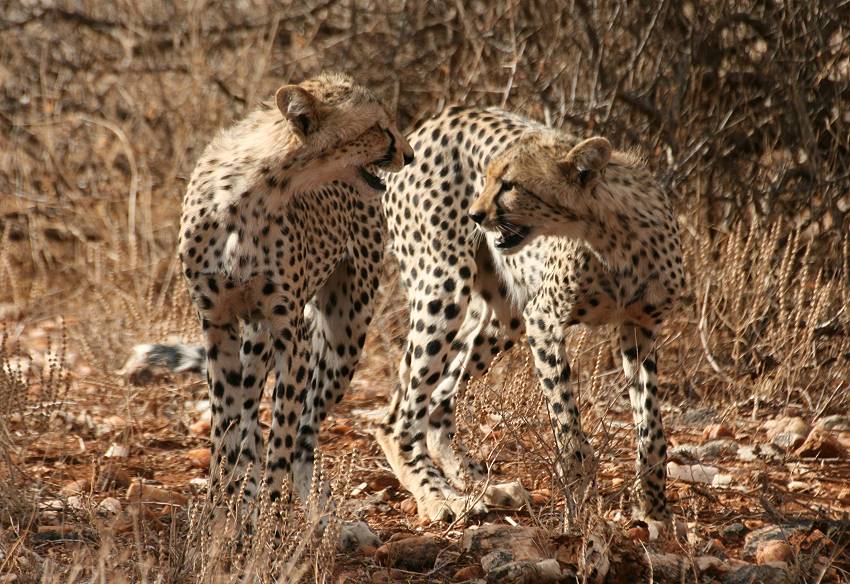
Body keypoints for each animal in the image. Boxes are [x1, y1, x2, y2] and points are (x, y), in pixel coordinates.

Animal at [173, 72, 410, 524]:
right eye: (378, 127)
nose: (407, 155)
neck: (251, 194)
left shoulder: (291, 332)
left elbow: (282, 438)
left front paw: (270, 527)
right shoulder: (217, 325)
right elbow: (225, 432)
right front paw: (215, 521)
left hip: (344, 336)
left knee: (304, 434)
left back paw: (307, 507)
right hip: (254, 337)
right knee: (250, 422)